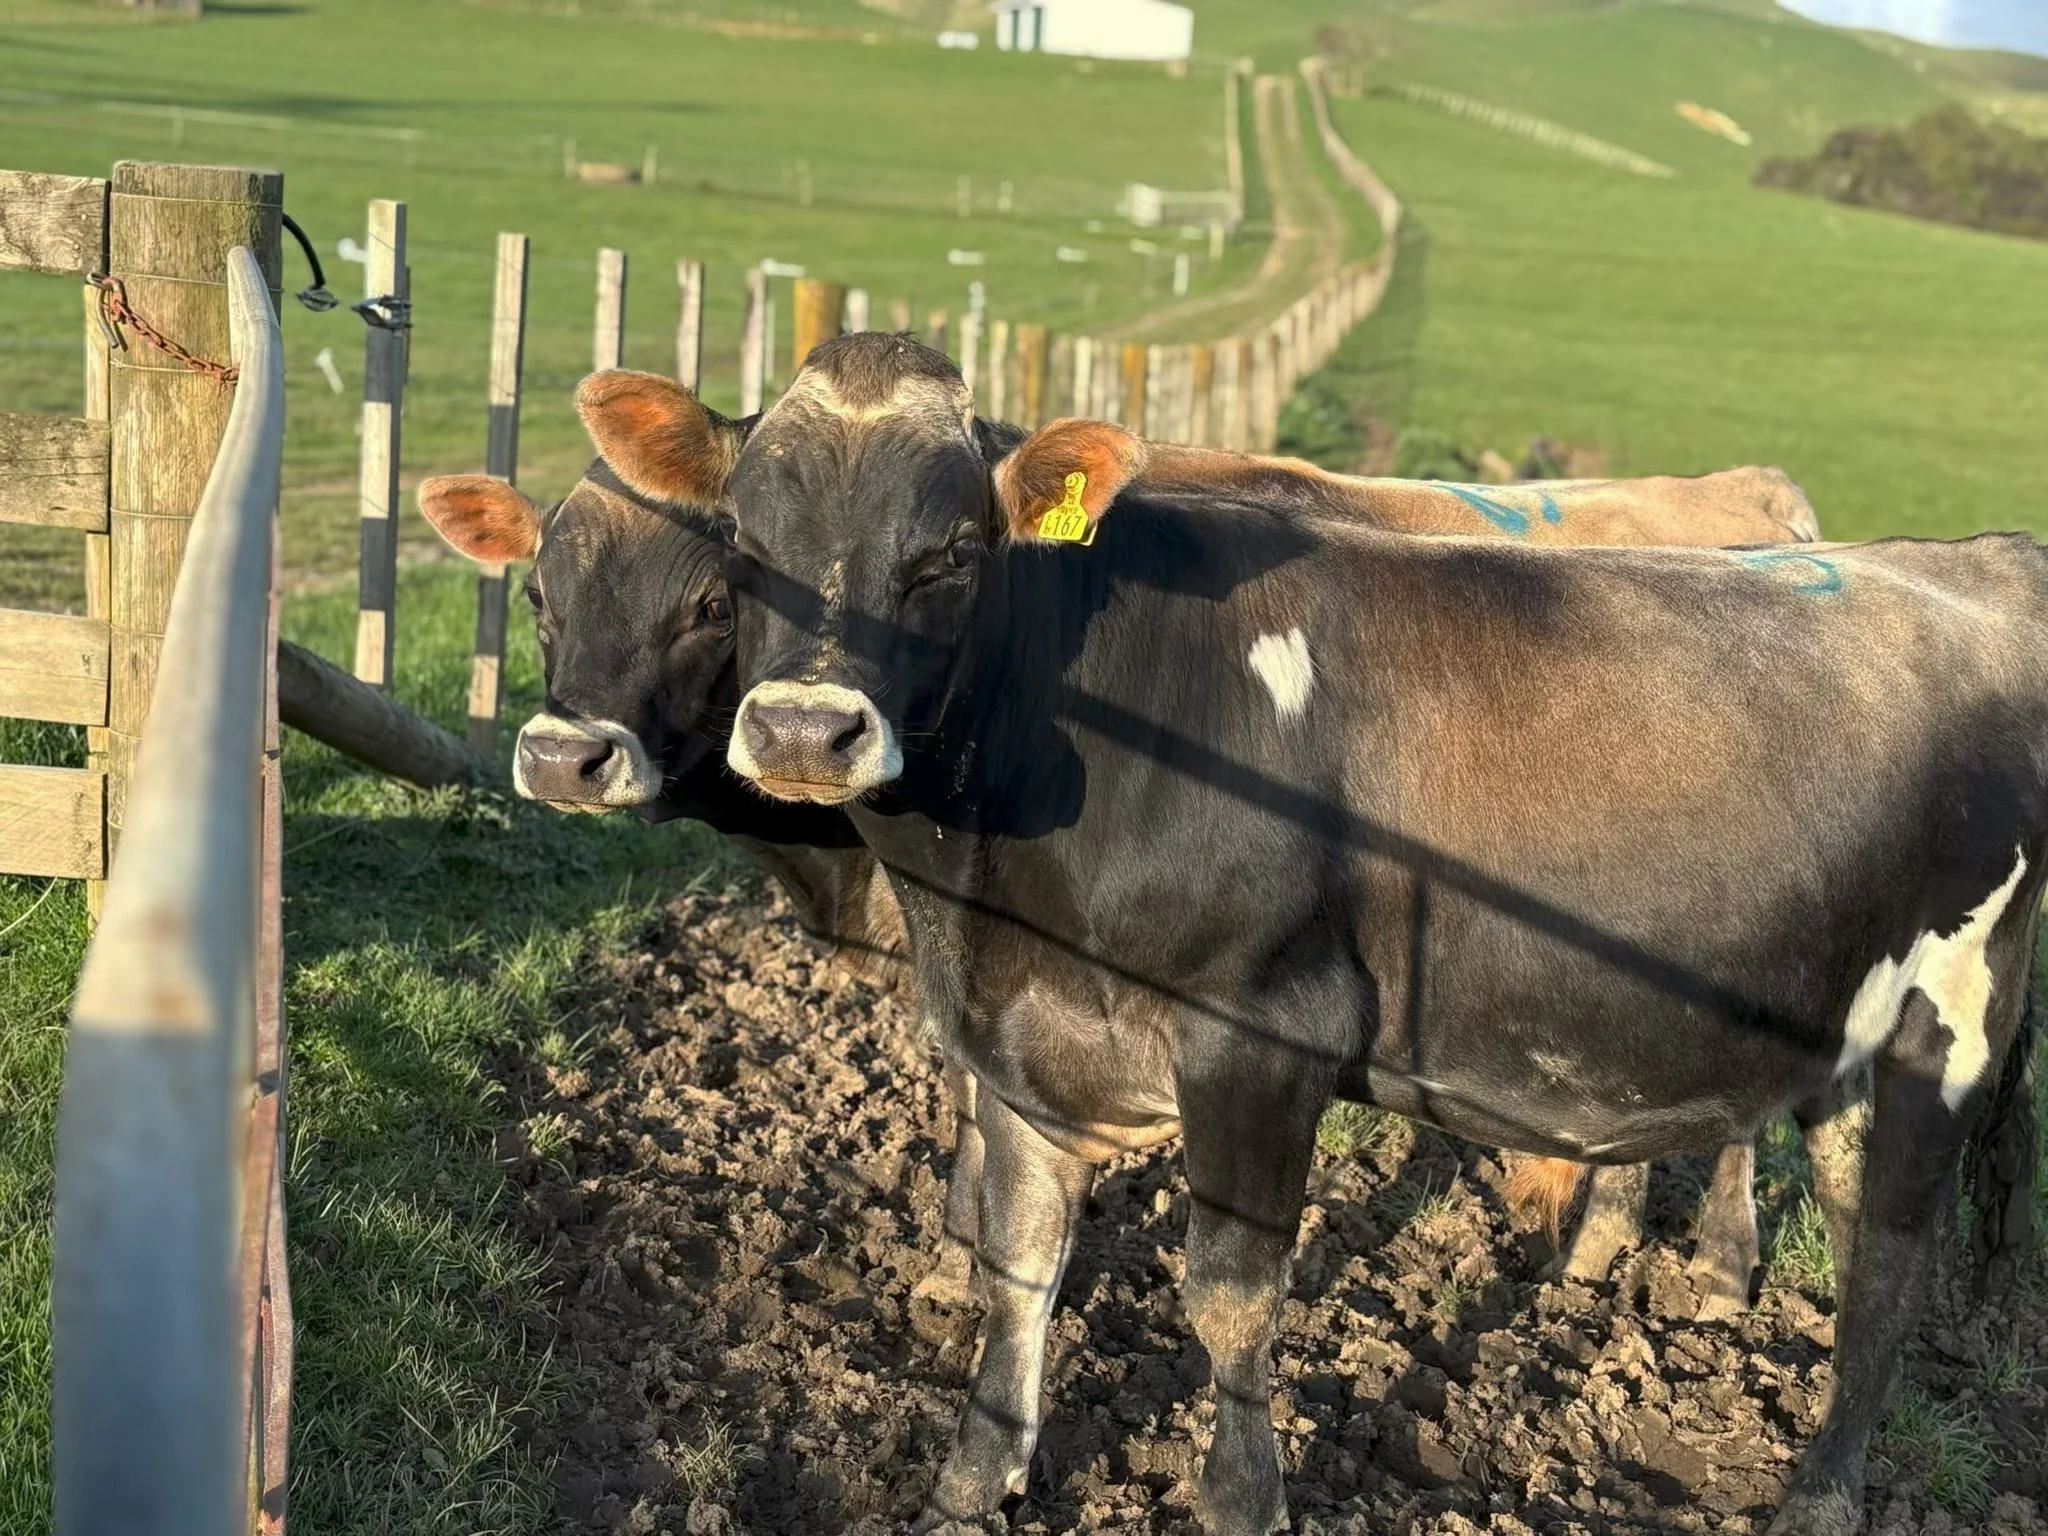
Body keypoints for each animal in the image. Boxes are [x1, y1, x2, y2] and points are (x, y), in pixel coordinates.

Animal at [578, 332, 2042, 1536]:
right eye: (740, 548)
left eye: (949, 552)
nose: (803, 731)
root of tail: (1972, 556)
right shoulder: (1021, 1046)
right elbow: (1019, 1268)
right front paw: (967, 1488)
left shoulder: (1259, 1037)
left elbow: (1230, 1298)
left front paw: (1240, 1501)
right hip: (1837, 1031)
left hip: (1950, 1028)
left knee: (1885, 1278)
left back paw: (1819, 1495)